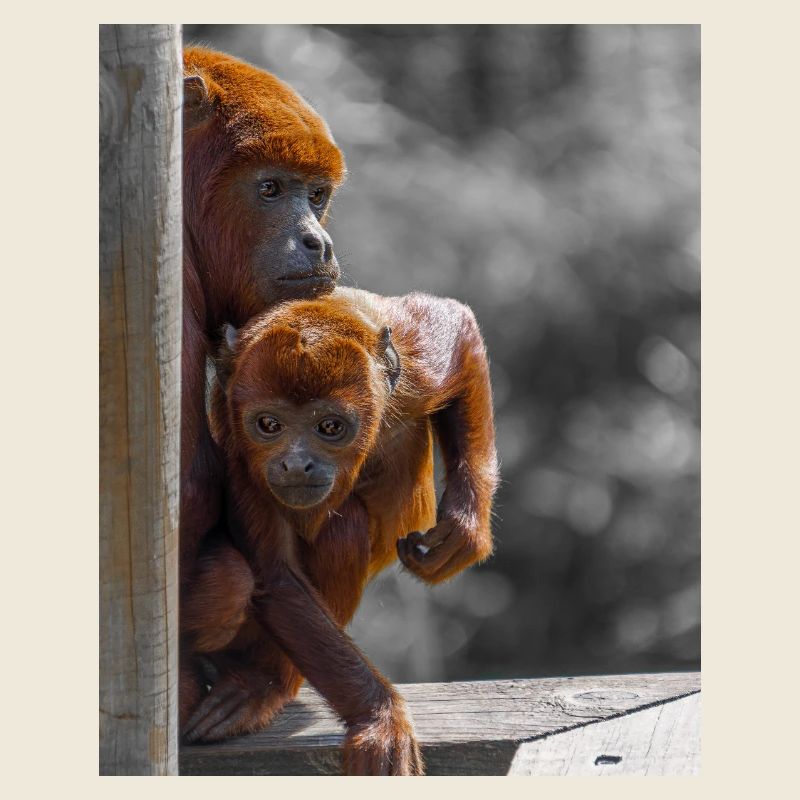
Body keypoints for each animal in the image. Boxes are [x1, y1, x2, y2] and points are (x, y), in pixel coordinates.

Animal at [180, 287, 498, 775]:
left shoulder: (416, 361)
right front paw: (379, 717)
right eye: (268, 425)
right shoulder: (239, 449)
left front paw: (466, 527)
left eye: (330, 426)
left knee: (343, 529)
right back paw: (262, 685)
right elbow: (275, 577)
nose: (295, 464)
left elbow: (459, 329)